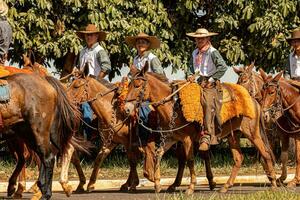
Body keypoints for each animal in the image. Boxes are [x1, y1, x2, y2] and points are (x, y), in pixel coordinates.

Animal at [123, 65, 276, 194]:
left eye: (137, 85)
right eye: (129, 85)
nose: (127, 109)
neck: (173, 106)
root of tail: (254, 101)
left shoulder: (187, 139)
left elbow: (189, 159)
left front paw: (191, 187)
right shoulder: (171, 138)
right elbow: (158, 154)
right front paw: (157, 184)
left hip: (252, 134)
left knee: (266, 153)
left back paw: (274, 182)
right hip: (233, 136)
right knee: (239, 158)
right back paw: (226, 186)